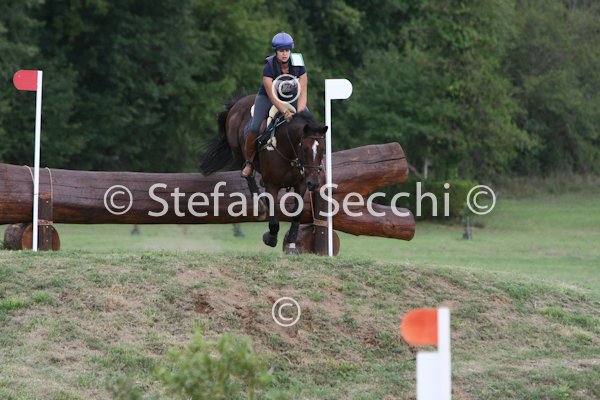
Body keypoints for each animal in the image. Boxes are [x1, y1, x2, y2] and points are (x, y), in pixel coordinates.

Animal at [199, 95, 328, 255]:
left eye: (322, 149)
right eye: (304, 149)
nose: (314, 183)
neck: (288, 149)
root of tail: (238, 103)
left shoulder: (301, 183)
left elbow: (297, 213)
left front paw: (292, 245)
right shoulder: (272, 183)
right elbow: (273, 212)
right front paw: (270, 238)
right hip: (238, 152)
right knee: (247, 173)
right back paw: (260, 206)